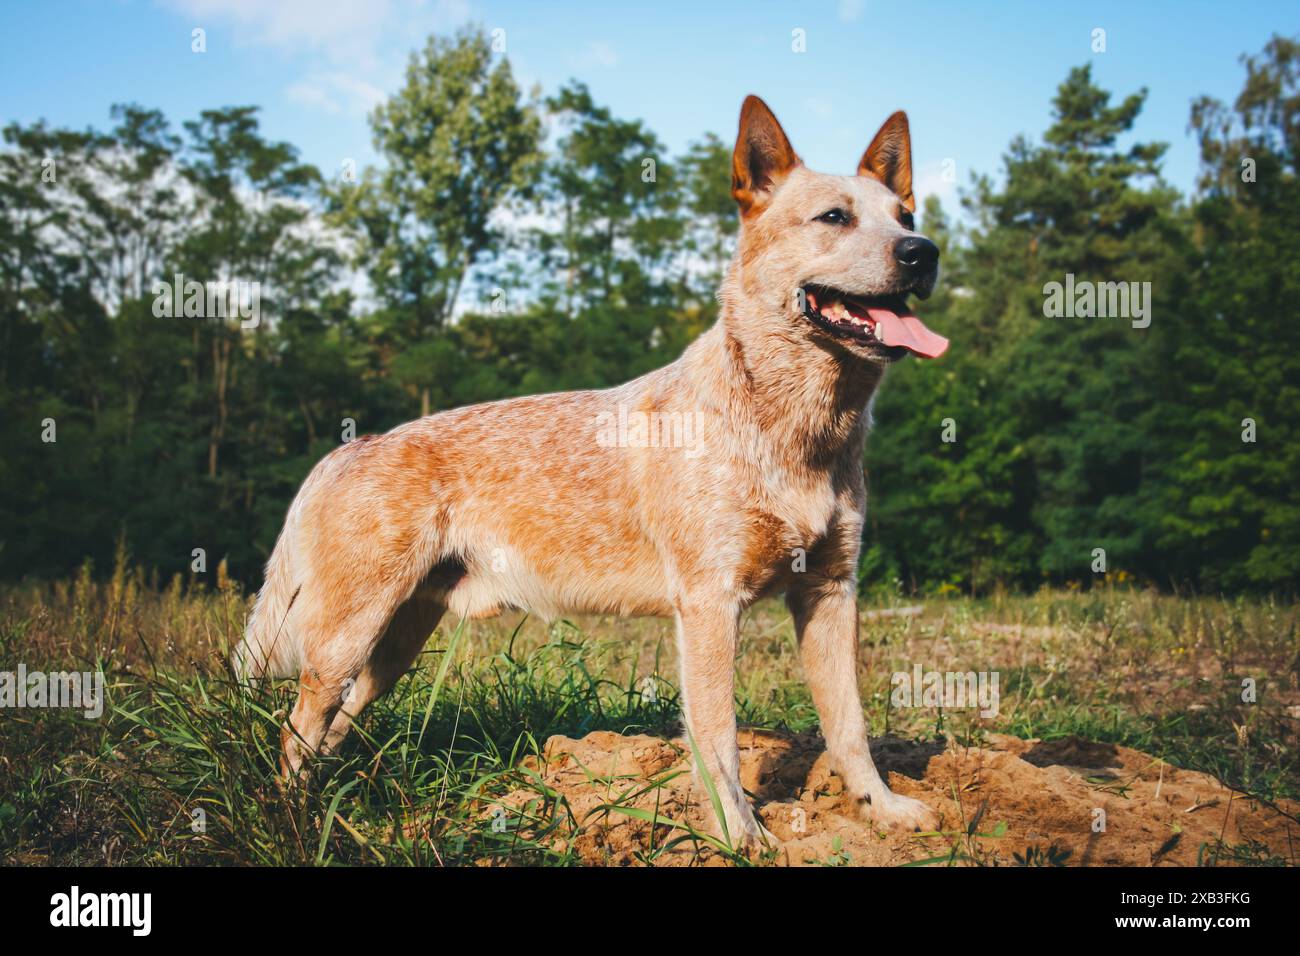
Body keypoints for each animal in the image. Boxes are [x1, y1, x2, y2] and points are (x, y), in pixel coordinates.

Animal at [239, 95, 951, 842]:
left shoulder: (830, 592)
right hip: (346, 638)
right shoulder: (709, 604)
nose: (923, 253)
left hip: (395, 645)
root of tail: (350, 447)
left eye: (905, 216)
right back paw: (293, 820)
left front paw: (882, 810)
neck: (798, 431)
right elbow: (718, 738)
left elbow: (850, 727)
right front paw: (738, 836)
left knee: (331, 727)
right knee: (297, 726)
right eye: (834, 217)